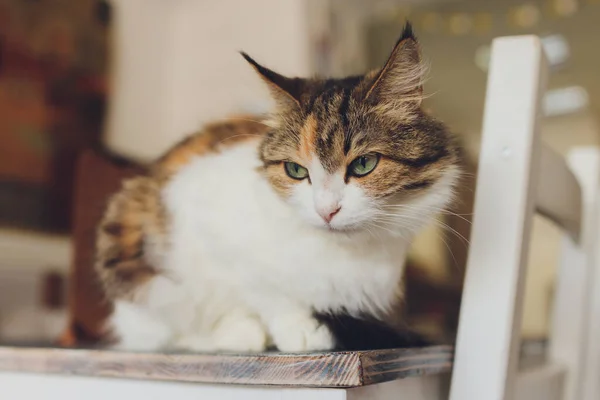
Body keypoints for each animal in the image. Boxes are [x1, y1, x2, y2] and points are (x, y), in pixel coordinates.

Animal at [95, 22, 460, 354]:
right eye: (296, 170)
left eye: (364, 164)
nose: (326, 210)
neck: (343, 254)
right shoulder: (197, 218)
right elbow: (258, 287)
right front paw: (294, 327)